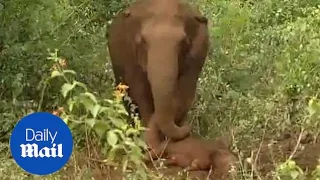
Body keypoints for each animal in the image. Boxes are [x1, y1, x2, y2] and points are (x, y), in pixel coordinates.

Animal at [106, 0, 209, 150]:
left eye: (183, 42)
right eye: (143, 41)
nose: (187, 127)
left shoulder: (197, 55)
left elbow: (184, 94)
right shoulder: (128, 55)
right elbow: (139, 92)